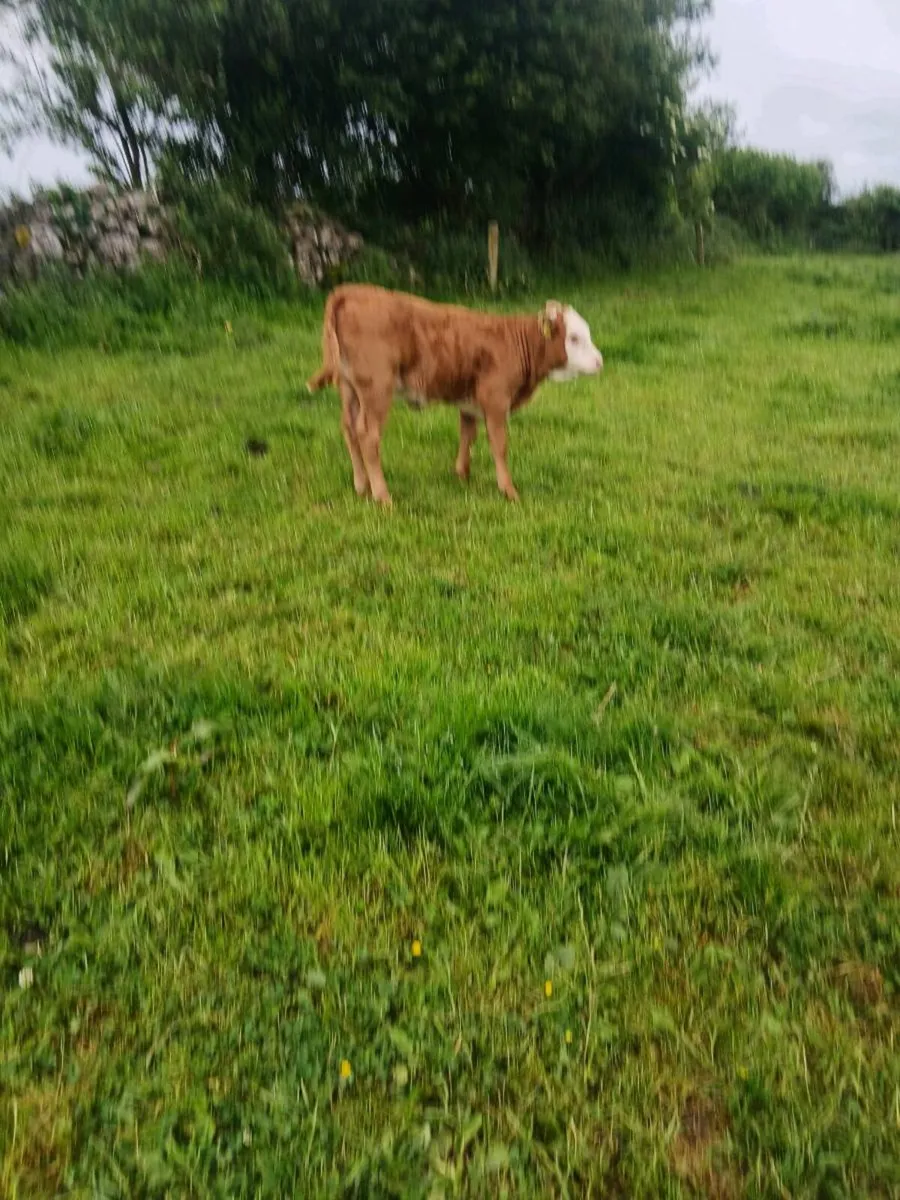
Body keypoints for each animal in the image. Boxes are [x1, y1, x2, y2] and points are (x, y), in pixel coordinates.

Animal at [306, 283, 603, 506]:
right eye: (574, 337)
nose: (600, 361)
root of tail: (351, 291)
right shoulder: (495, 398)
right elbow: (499, 444)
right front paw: (509, 491)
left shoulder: (469, 401)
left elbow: (467, 435)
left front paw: (462, 475)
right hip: (377, 387)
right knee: (368, 434)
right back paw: (382, 496)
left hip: (349, 387)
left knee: (349, 428)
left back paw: (361, 486)